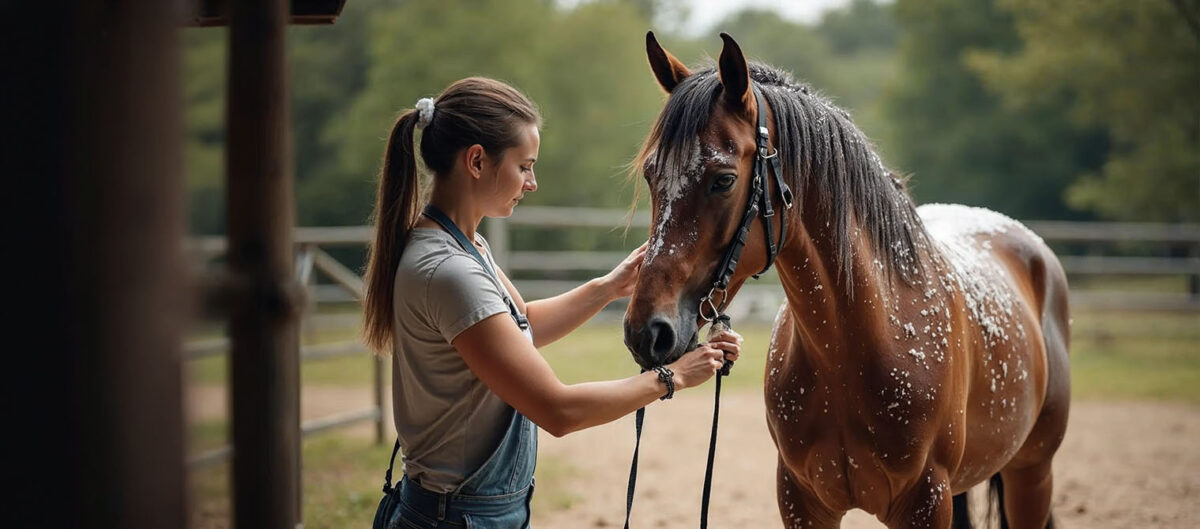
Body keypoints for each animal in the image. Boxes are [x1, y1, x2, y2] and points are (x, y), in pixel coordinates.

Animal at [622, 32, 1071, 529]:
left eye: (723, 179)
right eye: (651, 174)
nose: (647, 332)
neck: (853, 347)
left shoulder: (926, 502)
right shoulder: (802, 502)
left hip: (1031, 474)